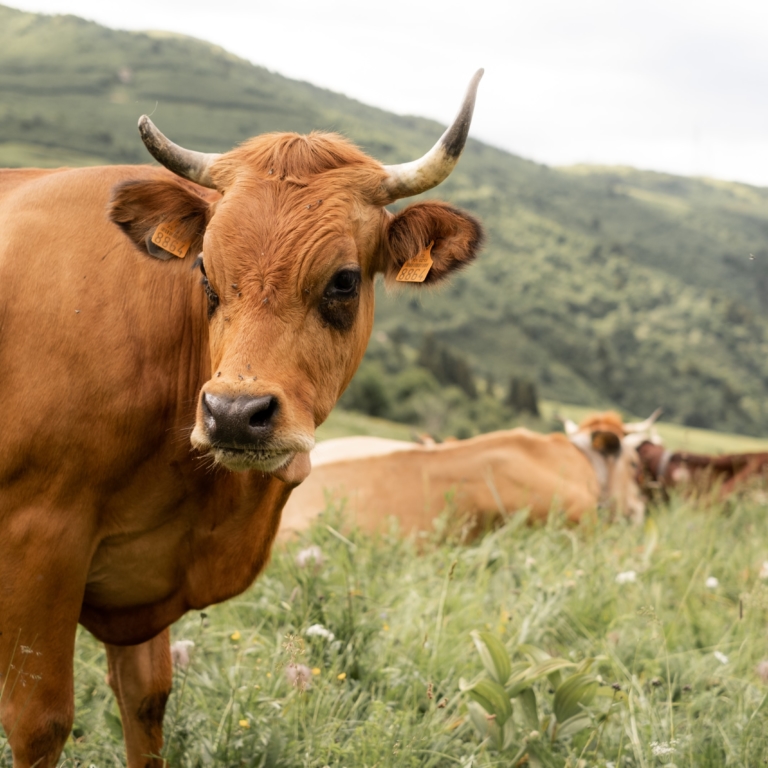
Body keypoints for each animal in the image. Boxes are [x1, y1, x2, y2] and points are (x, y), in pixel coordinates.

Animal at [0, 72, 485, 768]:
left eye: (344, 280)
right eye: (205, 269)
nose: (233, 414)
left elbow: (146, 700)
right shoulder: (37, 536)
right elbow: (39, 720)